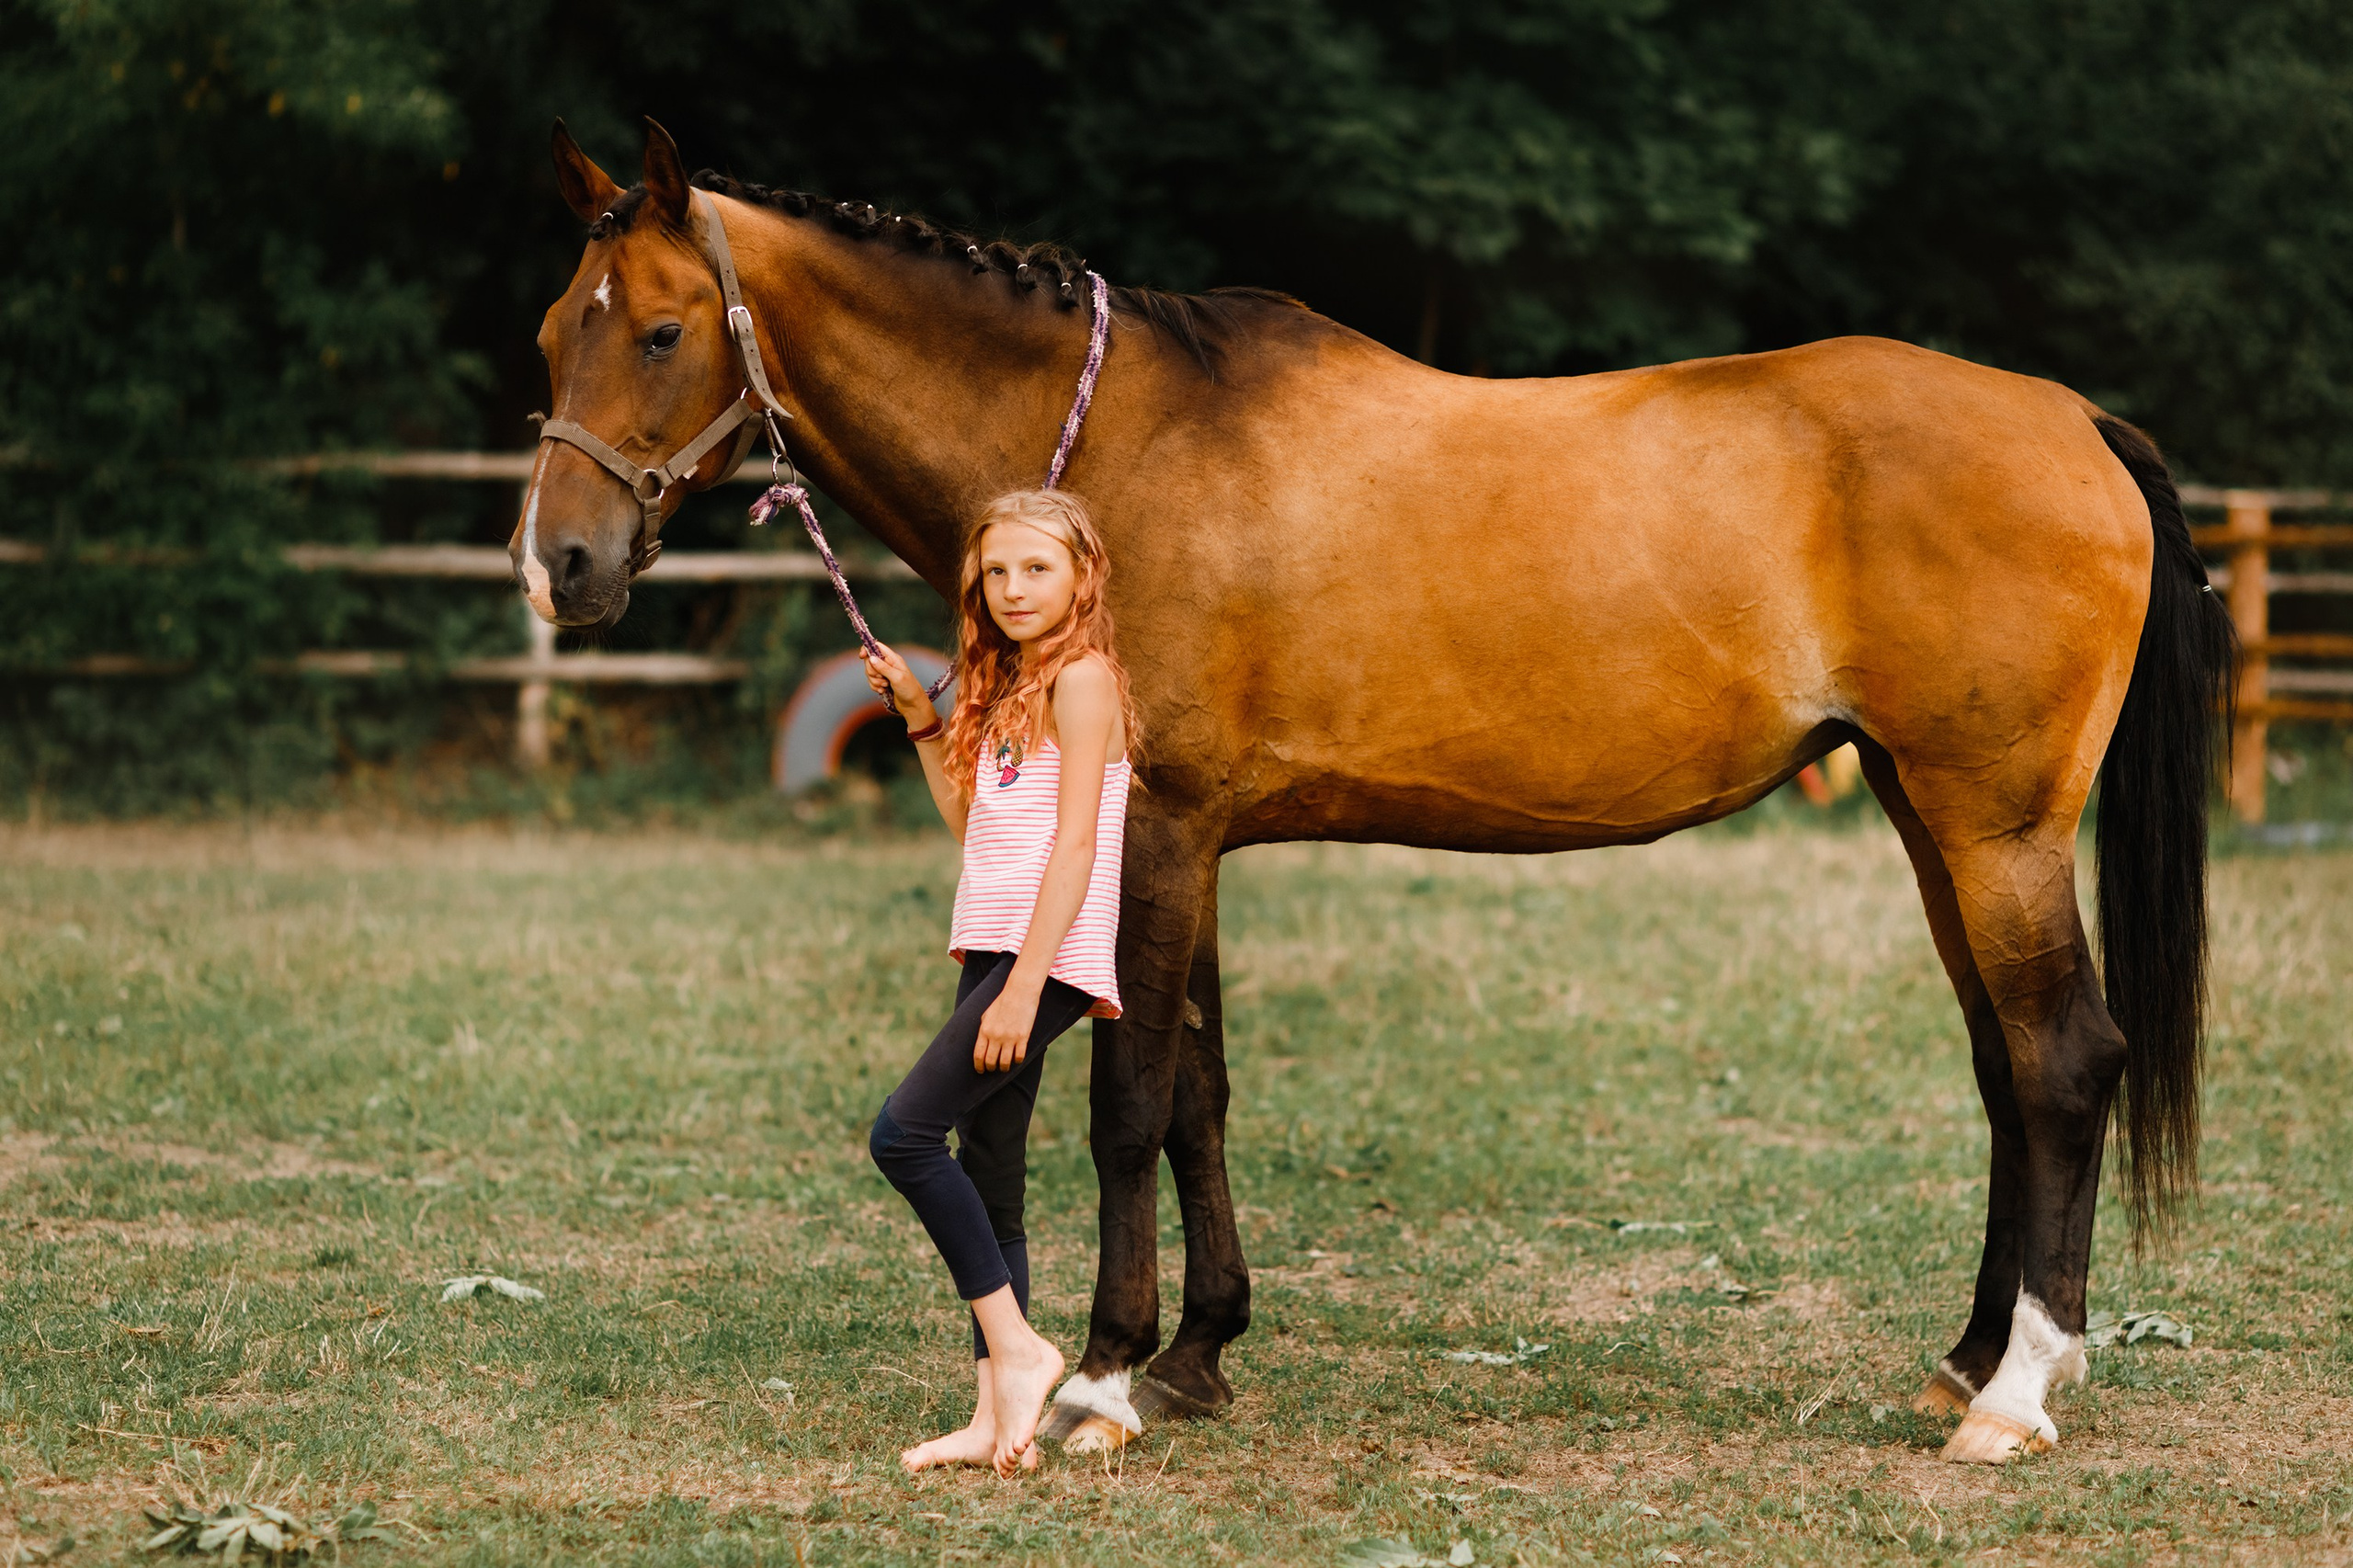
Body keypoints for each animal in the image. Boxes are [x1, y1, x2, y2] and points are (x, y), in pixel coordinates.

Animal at [513, 120, 2233, 1465]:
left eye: (658, 330)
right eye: (549, 336)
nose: (562, 567)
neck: (1121, 456)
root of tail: (2075, 418)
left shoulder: (1162, 833)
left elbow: (1127, 1100)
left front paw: (1107, 1378)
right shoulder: (1183, 841)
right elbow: (1198, 1093)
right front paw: (1199, 1353)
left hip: (1994, 828)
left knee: (2064, 1061)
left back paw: (2014, 1395)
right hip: (1931, 818)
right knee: (2005, 1067)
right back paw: (1972, 1352)